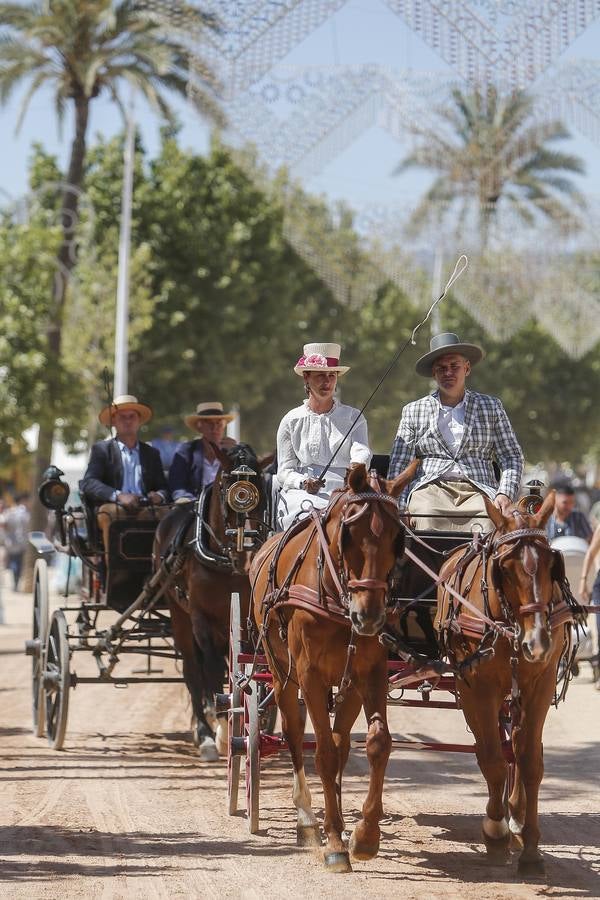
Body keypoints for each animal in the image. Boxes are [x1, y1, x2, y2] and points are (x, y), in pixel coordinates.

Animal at [154, 442, 270, 760]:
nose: (246, 553)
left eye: (262, 489)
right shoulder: (200, 618)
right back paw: (205, 731)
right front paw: (220, 730)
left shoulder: (248, 617)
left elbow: (249, 665)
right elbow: (213, 668)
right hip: (179, 616)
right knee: (194, 671)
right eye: (226, 487)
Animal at [251, 464, 414, 872]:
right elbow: (322, 753)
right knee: (294, 733)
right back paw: (308, 820)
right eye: (349, 535)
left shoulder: (368, 673)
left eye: (398, 538)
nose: (368, 616)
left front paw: (364, 835)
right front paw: (336, 843)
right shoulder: (308, 673)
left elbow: (376, 743)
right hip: (281, 672)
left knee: (340, 744)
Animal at [436, 488, 580, 876]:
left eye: (551, 564)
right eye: (506, 568)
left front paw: (530, 848)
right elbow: (491, 759)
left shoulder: (539, 684)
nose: (538, 641)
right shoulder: (475, 687)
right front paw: (495, 832)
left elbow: (529, 760)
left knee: (515, 743)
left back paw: (515, 812)